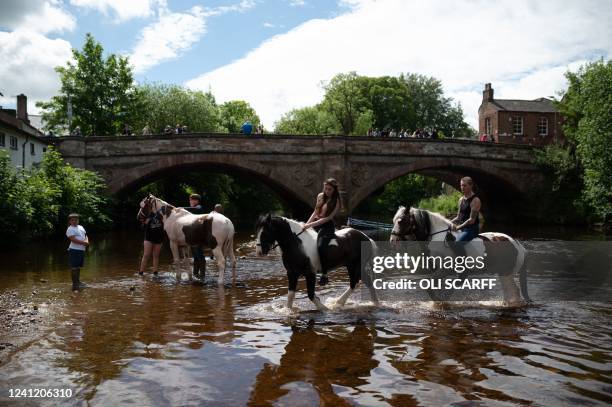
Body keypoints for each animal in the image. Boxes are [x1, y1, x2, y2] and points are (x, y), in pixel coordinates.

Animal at [392, 206, 532, 308]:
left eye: (400, 221)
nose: (392, 239)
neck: (436, 236)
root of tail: (519, 245)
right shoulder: (438, 270)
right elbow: (434, 286)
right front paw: (439, 300)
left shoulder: (445, 269)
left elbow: (429, 285)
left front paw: (440, 301)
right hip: (503, 273)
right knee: (509, 292)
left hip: (506, 273)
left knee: (514, 291)